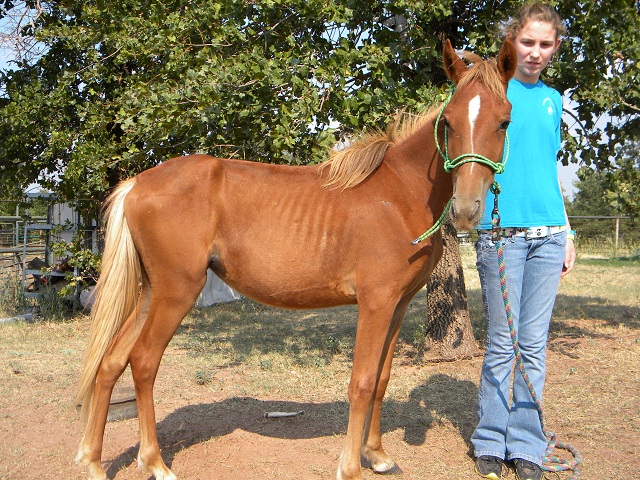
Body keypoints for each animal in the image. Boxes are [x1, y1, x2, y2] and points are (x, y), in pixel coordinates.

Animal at [74, 38, 516, 480]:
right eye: (450, 122)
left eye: (504, 122)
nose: (466, 209)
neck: (399, 194)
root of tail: (137, 183)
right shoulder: (375, 304)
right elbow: (362, 381)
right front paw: (351, 467)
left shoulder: (399, 304)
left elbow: (382, 378)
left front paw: (377, 454)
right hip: (175, 293)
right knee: (143, 362)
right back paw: (154, 462)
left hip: (149, 292)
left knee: (111, 362)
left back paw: (94, 460)